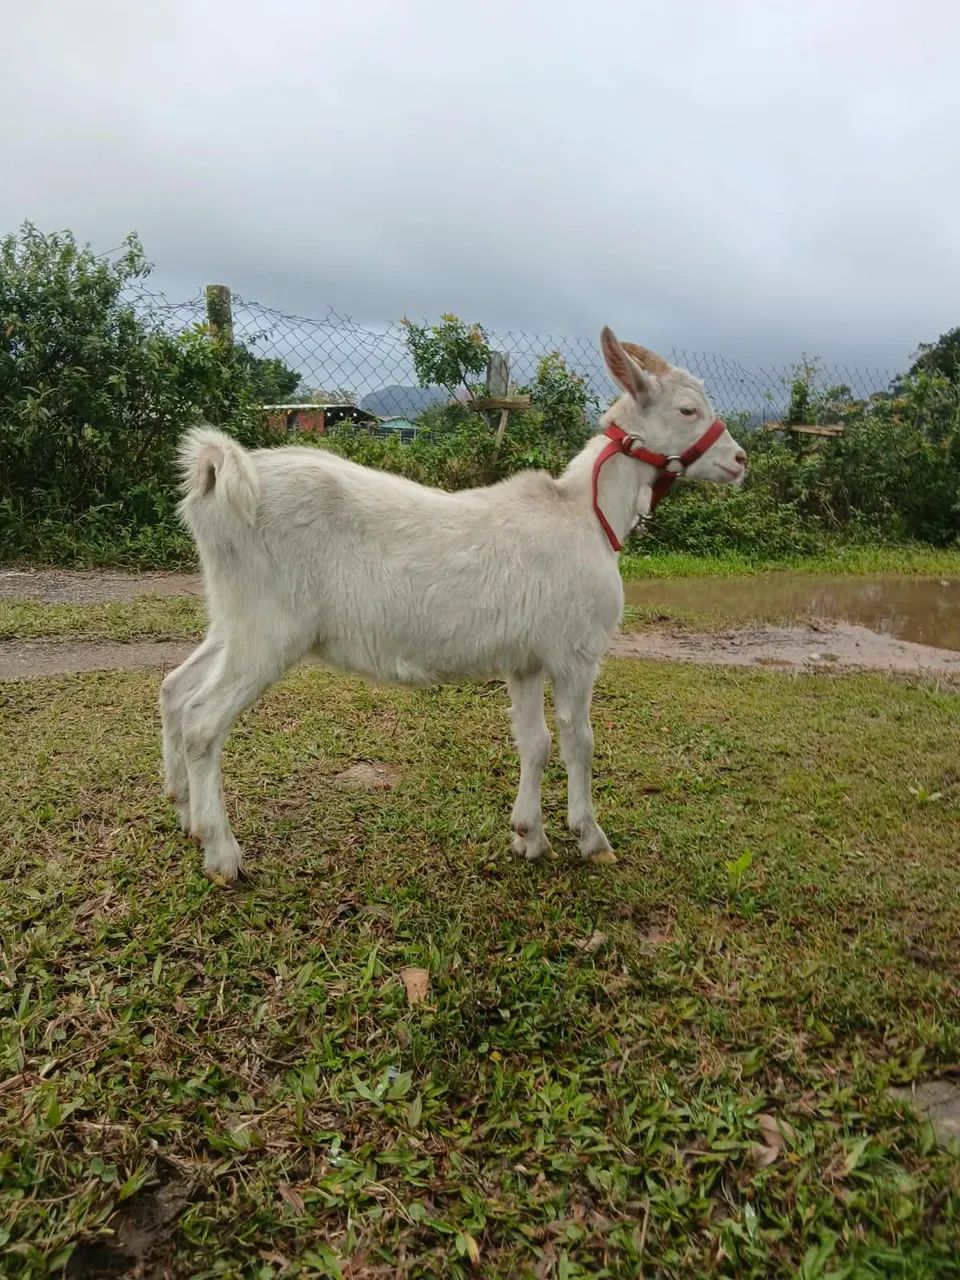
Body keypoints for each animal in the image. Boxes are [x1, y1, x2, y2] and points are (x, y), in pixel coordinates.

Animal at [160, 327, 746, 881]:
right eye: (688, 410)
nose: (739, 459)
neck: (584, 514)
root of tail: (216, 478)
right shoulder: (576, 654)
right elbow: (579, 741)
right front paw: (591, 839)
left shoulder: (526, 661)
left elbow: (534, 742)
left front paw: (528, 836)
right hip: (270, 629)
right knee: (203, 722)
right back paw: (222, 854)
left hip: (234, 620)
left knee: (175, 689)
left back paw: (185, 813)